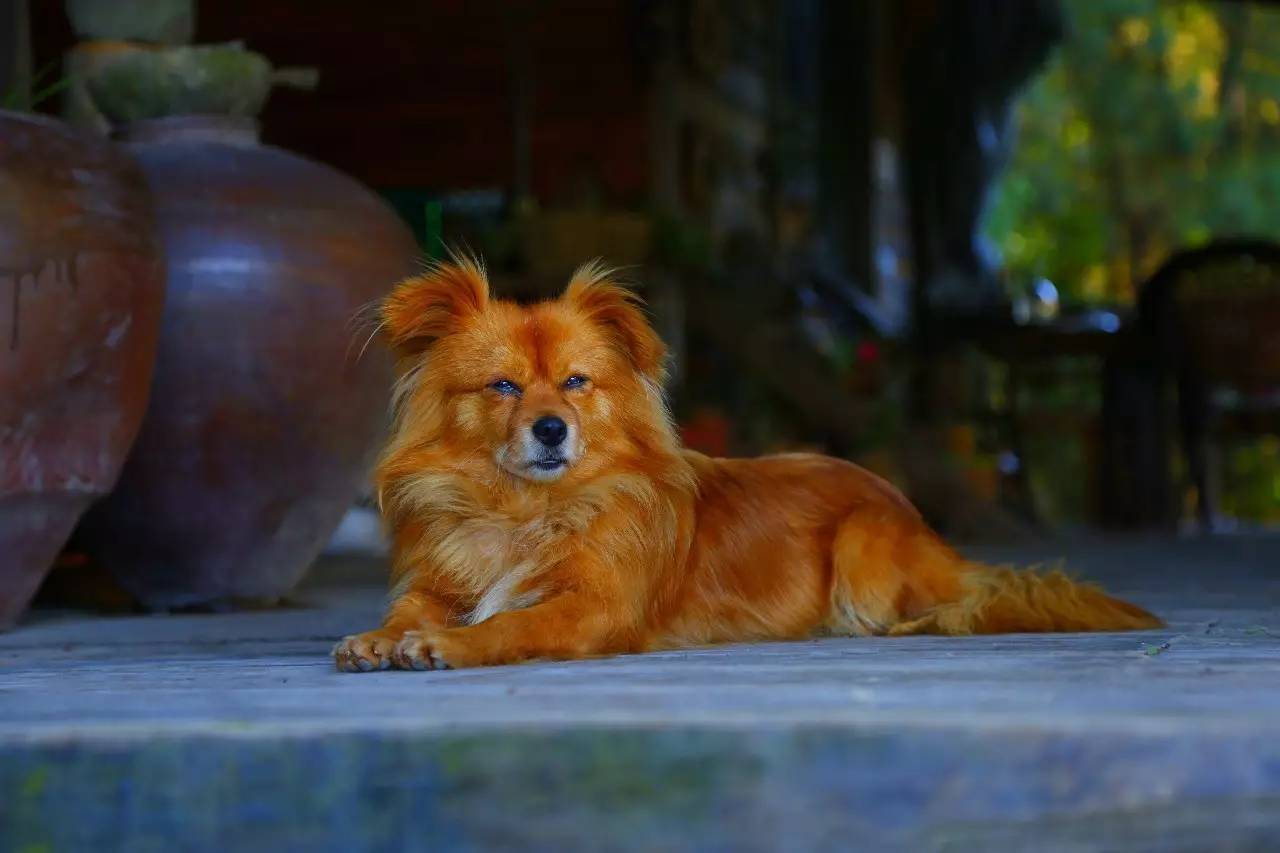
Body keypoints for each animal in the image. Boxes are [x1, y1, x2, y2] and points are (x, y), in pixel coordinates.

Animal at [330, 258, 1162, 671]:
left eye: (575, 383)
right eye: (503, 386)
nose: (551, 428)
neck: (524, 509)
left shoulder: (595, 608)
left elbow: (511, 623)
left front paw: (446, 644)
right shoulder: (441, 578)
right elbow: (412, 606)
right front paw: (380, 635)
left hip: (863, 548)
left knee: (962, 601)